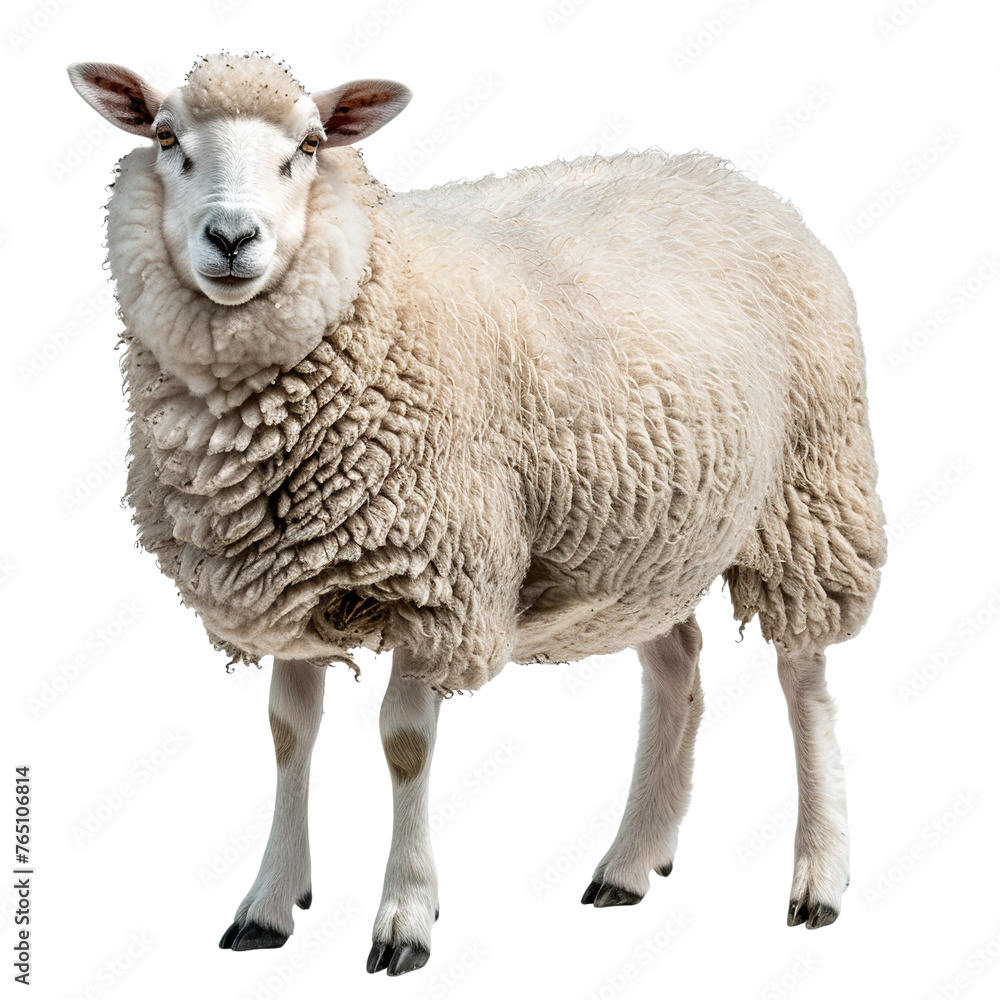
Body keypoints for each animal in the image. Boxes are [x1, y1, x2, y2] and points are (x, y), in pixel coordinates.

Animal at [68, 52, 886, 977]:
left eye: (309, 146)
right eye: (165, 137)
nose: (233, 238)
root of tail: (730, 176)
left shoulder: (438, 583)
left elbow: (404, 745)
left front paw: (405, 917)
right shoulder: (287, 584)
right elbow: (287, 733)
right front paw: (270, 905)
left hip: (812, 498)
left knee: (804, 681)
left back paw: (819, 876)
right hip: (645, 540)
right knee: (677, 666)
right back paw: (632, 861)